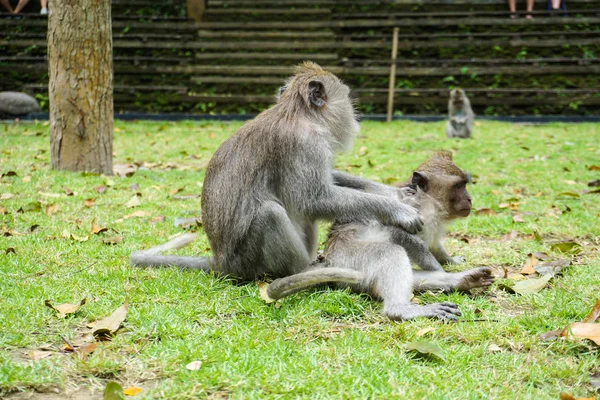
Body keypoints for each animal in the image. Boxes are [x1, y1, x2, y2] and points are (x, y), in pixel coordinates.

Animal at [131, 61, 422, 282]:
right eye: (347, 97)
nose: (355, 113)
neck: (299, 113)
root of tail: (221, 263)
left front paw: (393, 193)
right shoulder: (303, 143)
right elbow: (313, 199)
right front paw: (398, 210)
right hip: (248, 262)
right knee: (270, 213)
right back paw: (300, 270)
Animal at [264, 152, 494, 320]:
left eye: (465, 184)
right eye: (459, 186)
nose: (469, 199)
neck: (433, 204)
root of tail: (329, 258)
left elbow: (435, 245)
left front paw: (450, 261)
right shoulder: (416, 210)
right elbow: (399, 233)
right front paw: (438, 268)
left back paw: (463, 280)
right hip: (352, 259)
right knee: (390, 253)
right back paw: (400, 309)